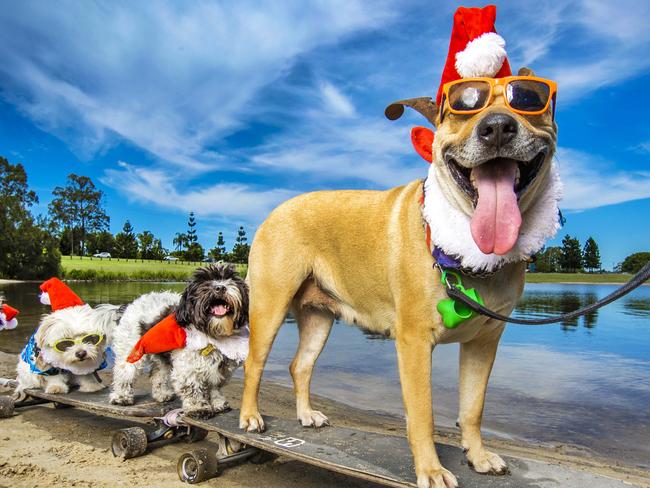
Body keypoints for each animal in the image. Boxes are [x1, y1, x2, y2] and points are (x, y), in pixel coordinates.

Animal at [240, 10, 560, 484]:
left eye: (527, 100)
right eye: (462, 109)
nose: (498, 128)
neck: (464, 246)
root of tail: (275, 210)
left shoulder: (485, 342)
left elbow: (473, 407)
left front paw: (478, 456)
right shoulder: (413, 343)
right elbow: (422, 413)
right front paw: (431, 470)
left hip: (318, 317)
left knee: (301, 365)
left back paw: (306, 415)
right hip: (271, 303)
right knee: (254, 362)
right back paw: (249, 417)